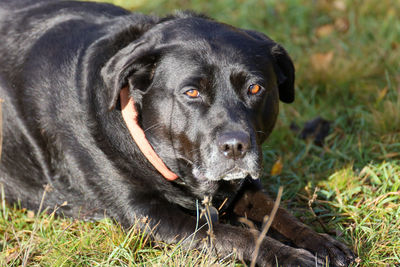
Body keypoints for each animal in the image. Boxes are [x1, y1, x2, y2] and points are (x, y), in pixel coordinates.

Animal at [0, 1, 354, 266]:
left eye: (255, 88)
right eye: (191, 92)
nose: (236, 146)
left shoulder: (242, 185)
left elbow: (279, 213)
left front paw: (323, 243)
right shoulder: (148, 214)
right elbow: (232, 234)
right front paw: (289, 256)